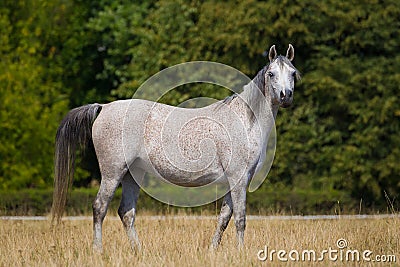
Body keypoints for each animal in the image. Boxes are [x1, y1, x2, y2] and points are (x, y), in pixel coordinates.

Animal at [50, 43, 300, 251]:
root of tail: (103, 107)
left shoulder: (235, 181)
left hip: (132, 174)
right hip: (112, 173)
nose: (285, 96)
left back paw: (139, 251)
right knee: (99, 208)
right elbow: (240, 219)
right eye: (271, 74)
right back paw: (98, 250)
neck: (245, 119)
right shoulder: (239, 179)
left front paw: (212, 251)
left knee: (126, 213)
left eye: (292, 73)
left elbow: (224, 218)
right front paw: (240, 252)